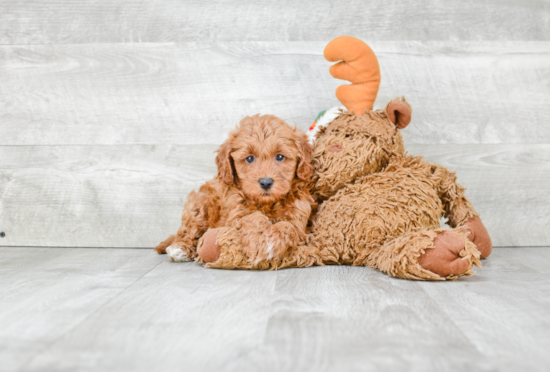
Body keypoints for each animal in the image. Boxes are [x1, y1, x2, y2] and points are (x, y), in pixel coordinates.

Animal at [157, 115, 316, 264]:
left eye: (280, 157)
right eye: (250, 159)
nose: (265, 182)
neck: (267, 203)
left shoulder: (299, 216)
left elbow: (288, 226)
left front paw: (270, 241)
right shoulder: (235, 215)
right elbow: (253, 218)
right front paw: (258, 242)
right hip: (199, 205)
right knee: (187, 232)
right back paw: (180, 248)